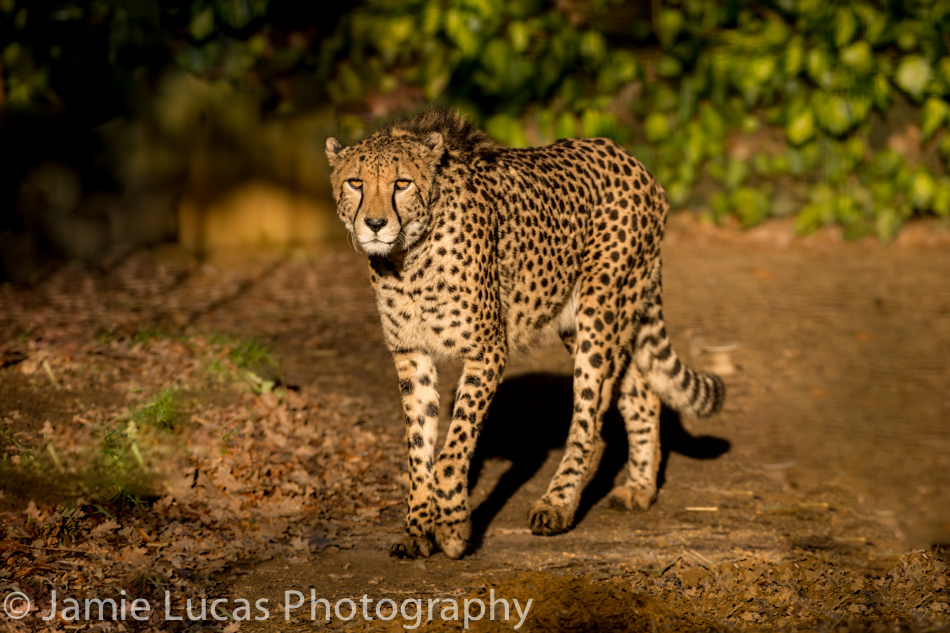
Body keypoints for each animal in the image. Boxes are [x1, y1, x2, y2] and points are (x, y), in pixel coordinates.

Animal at [325, 107, 724, 560]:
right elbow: (419, 448)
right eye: (356, 182)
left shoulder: (486, 352)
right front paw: (416, 529)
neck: (406, 259)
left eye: (402, 183)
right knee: (641, 392)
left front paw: (454, 530)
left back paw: (558, 504)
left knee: (589, 420)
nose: (375, 223)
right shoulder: (411, 353)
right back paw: (639, 488)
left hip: (600, 313)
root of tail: (631, 159)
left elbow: (452, 450)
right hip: (581, 320)